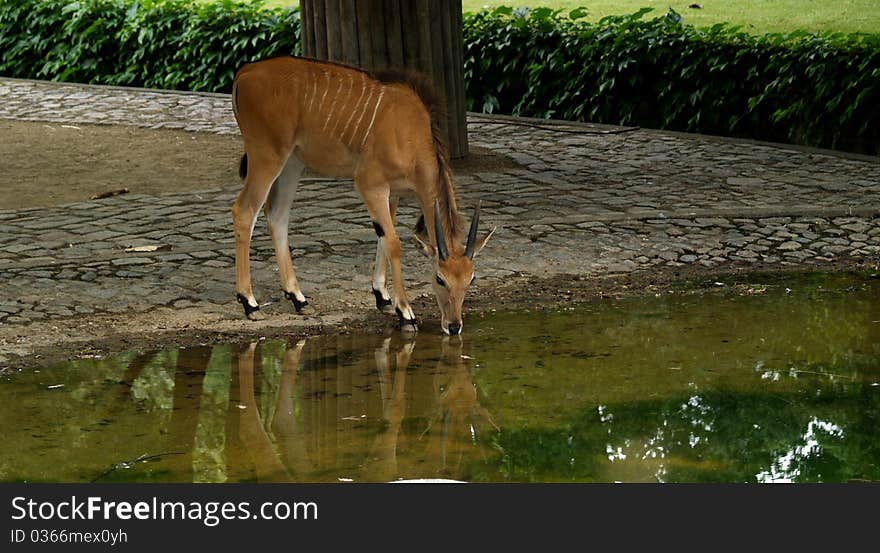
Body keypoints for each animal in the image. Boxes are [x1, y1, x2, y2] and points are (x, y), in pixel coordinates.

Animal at [232, 56, 496, 334]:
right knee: (245, 211)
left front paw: (382, 297)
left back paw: (298, 299)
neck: (412, 131)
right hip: (267, 157)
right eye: (440, 278)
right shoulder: (371, 184)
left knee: (277, 216)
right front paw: (405, 313)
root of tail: (246, 72)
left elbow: (383, 235)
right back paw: (250, 303)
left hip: (293, 162)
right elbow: (394, 243)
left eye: (471, 278)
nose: (454, 326)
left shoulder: (393, 192)